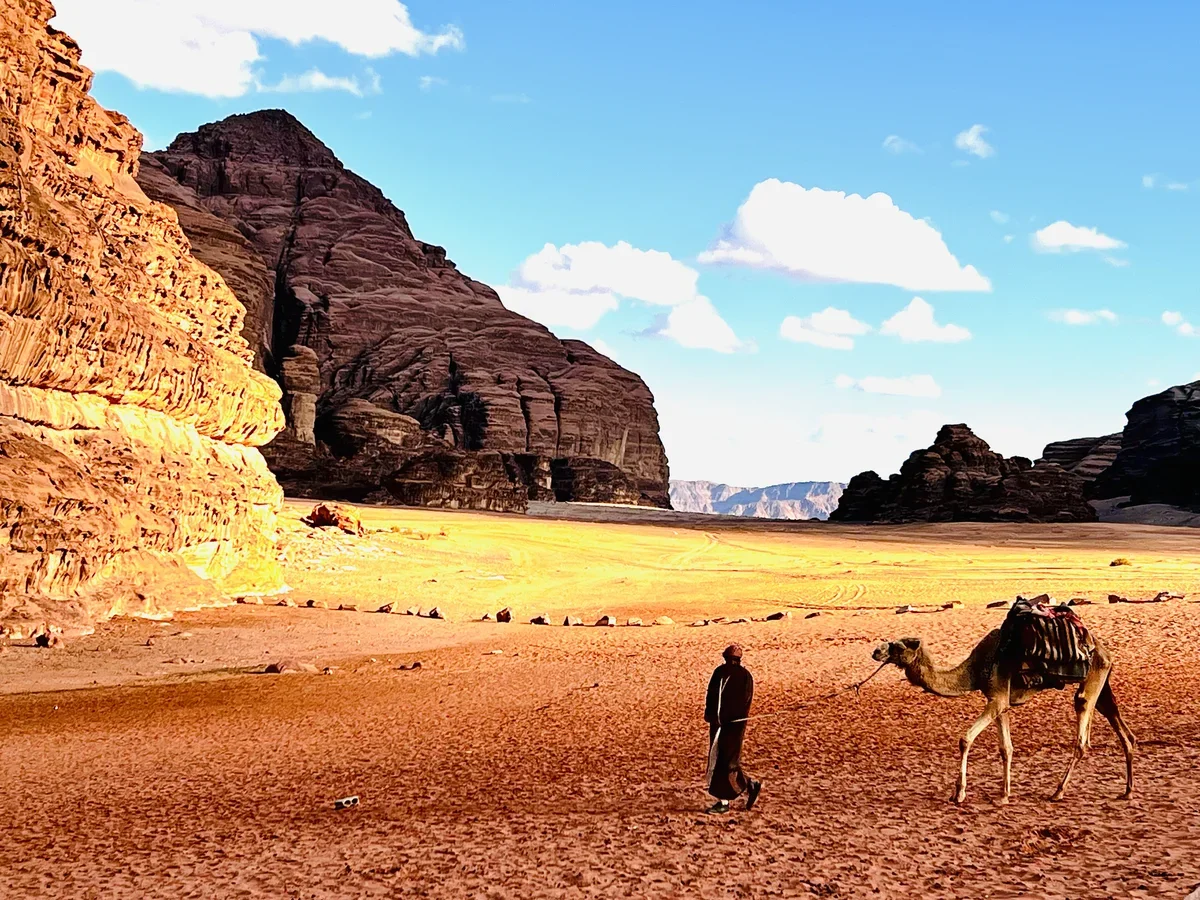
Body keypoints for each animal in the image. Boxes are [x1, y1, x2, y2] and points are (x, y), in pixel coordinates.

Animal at [871, 629, 1135, 804]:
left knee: (1082, 728)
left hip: (1092, 676)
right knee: (1122, 729)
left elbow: (965, 739)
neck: (975, 670)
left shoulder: (996, 696)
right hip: (1103, 680)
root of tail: (1104, 650)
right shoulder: (1000, 701)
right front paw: (1004, 794)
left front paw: (959, 793)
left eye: (899, 646)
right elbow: (1006, 748)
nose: (876, 651)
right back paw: (1127, 791)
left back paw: (1058, 792)